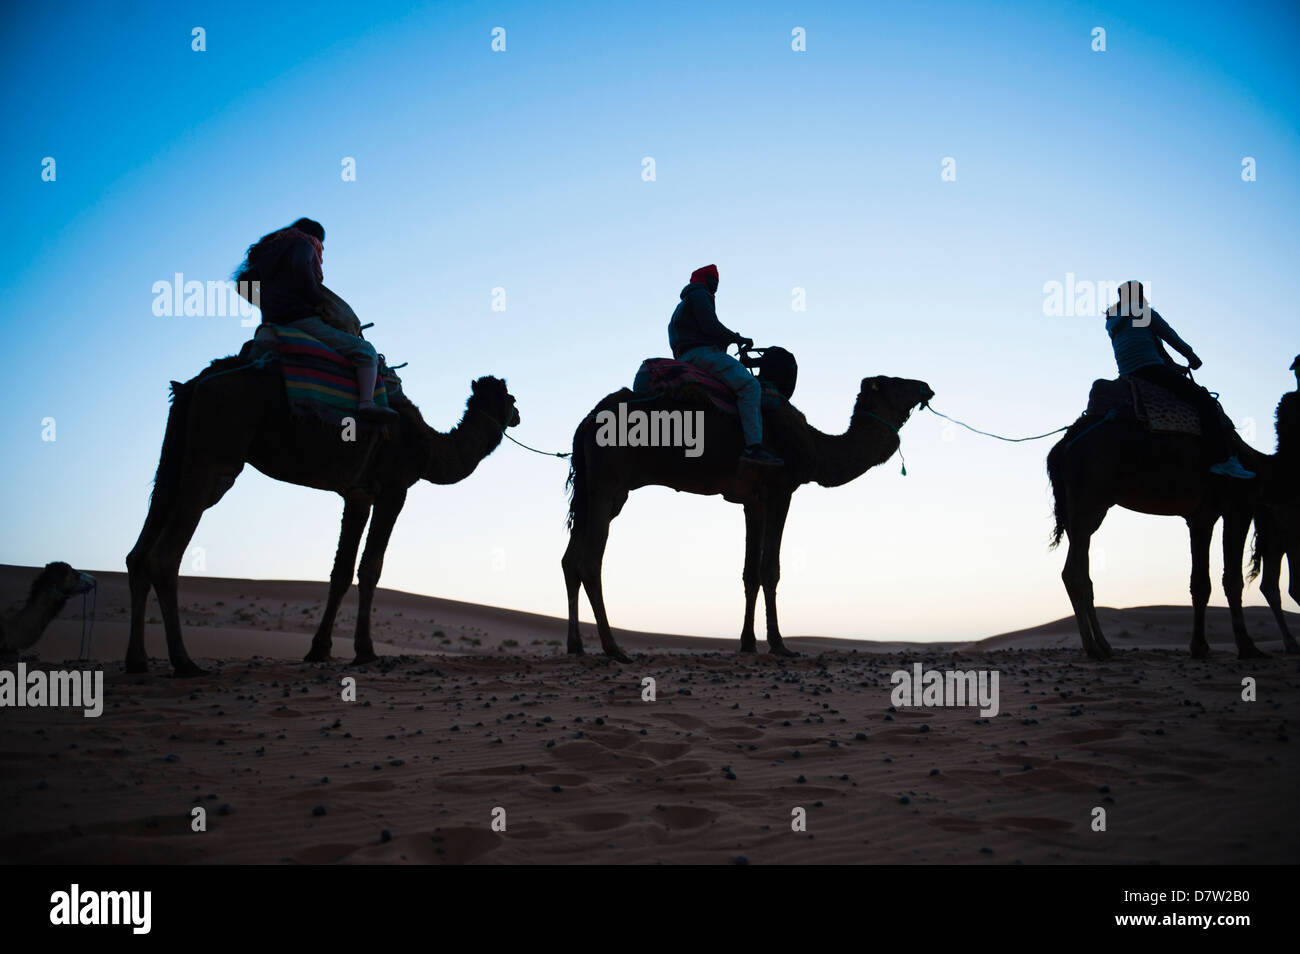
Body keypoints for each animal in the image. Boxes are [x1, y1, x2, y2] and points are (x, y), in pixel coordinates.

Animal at [126, 358, 517, 681]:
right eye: (510, 397)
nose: (517, 414)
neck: (429, 447)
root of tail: (191, 385)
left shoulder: (358, 494)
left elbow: (341, 571)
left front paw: (319, 650)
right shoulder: (393, 489)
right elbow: (371, 567)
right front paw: (365, 651)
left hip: (174, 454)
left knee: (138, 553)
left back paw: (138, 660)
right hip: (216, 452)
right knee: (165, 555)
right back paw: (184, 662)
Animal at [564, 376, 930, 660]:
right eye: (895, 382)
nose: (926, 387)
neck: (815, 447)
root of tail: (587, 421)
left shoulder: (753, 502)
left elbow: (749, 572)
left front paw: (748, 644)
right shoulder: (781, 490)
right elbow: (771, 569)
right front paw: (780, 645)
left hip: (595, 488)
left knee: (571, 560)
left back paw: (576, 646)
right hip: (609, 482)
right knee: (590, 561)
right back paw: (614, 649)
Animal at [1050, 384, 1263, 660]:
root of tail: (1063, 445)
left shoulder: (1201, 517)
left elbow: (1200, 582)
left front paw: (1200, 646)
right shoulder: (1240, 505)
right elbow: (1233, 579)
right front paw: (1248, 646)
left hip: (1077, 511)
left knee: (1078, 571)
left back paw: (1100, 646)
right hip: (1089, 502)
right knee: (1075, 572)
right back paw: (1095, 647)